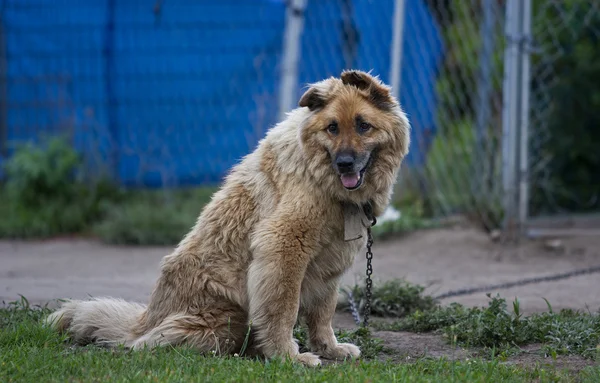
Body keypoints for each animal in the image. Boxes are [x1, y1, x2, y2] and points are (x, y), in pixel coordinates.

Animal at [47, 70, 410, 368]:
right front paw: (288, 356)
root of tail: (145, 321)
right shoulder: (283, 247)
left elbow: (323, 312)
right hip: (226, 319)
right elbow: (282, 308)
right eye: (332, 128)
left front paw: (329, 349)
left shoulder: (328, 264)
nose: (345, 163)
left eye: (363, 125)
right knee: (156, 344)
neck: (320, 175)